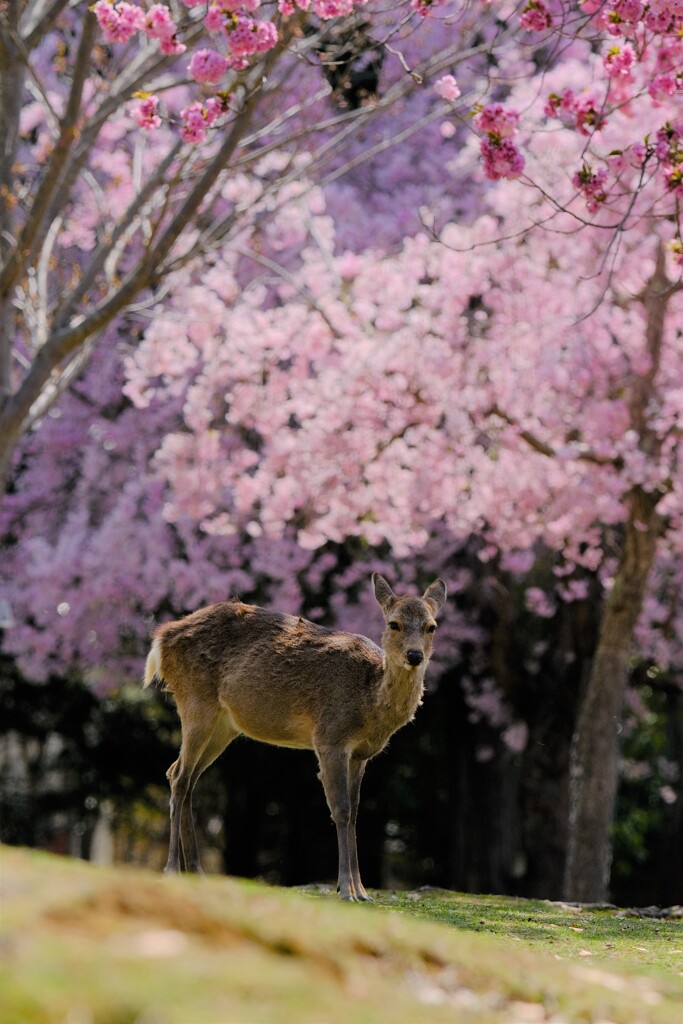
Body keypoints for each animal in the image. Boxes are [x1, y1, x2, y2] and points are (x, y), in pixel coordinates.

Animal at [143, 573, 448, 901]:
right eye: (394, 624)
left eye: (432, 626)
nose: (414, 655)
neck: (369, 701)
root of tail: (160, 640)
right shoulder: (330, 738)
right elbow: (340, 810)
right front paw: (347, 890)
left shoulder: (360, 754)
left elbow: (355, 812)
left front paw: (361, 890)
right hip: (195, 701)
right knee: (179, 777)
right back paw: (172, 869)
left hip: (224, 725)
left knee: (182, 775)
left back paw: (197, 872)